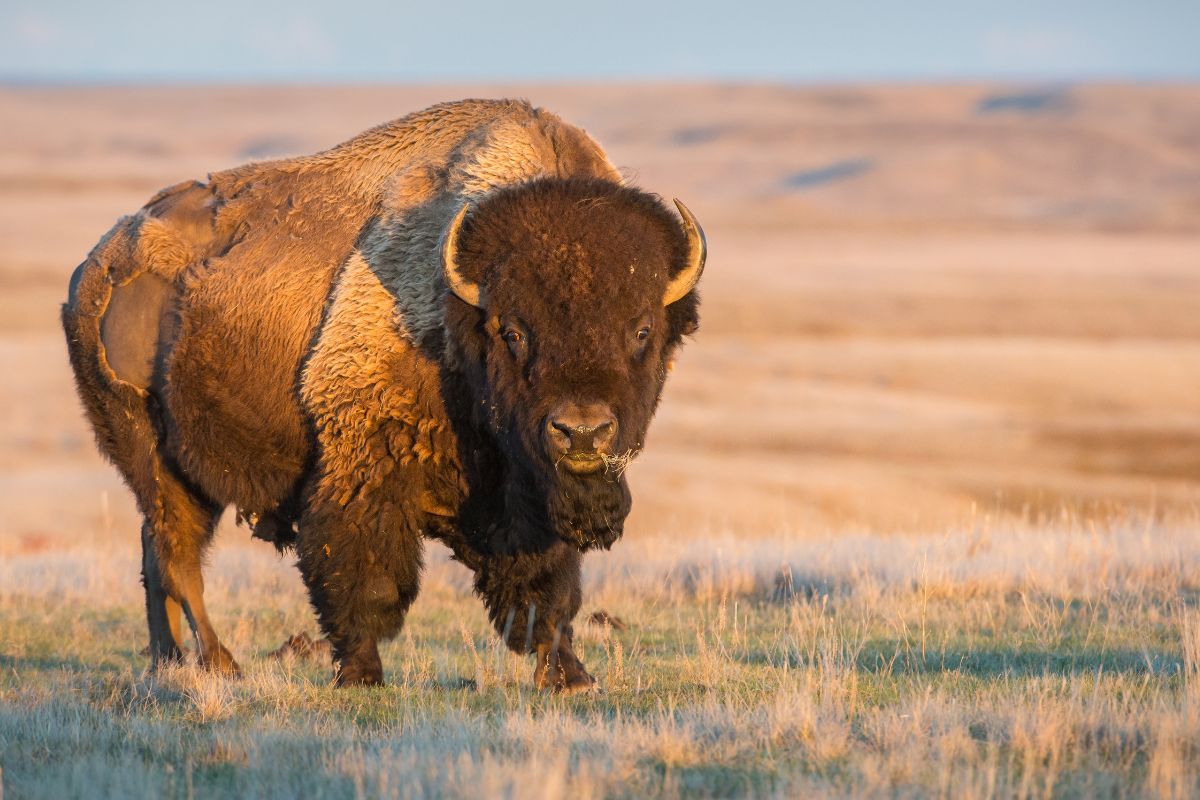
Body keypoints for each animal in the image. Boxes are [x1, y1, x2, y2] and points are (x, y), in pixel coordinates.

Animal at [60, 98, 700, 690]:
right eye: (513, 331)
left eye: (642, 330)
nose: (583, 432)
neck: (457, 315)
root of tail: (97, 263)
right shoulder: (363, 467)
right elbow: (365, 577)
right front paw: (360, 674)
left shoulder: (530, 498)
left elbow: (548, 589)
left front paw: (570, 676)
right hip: (151, 456)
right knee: (178, 556)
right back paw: (220, 665)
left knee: (156, 555)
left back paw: (167, 662)